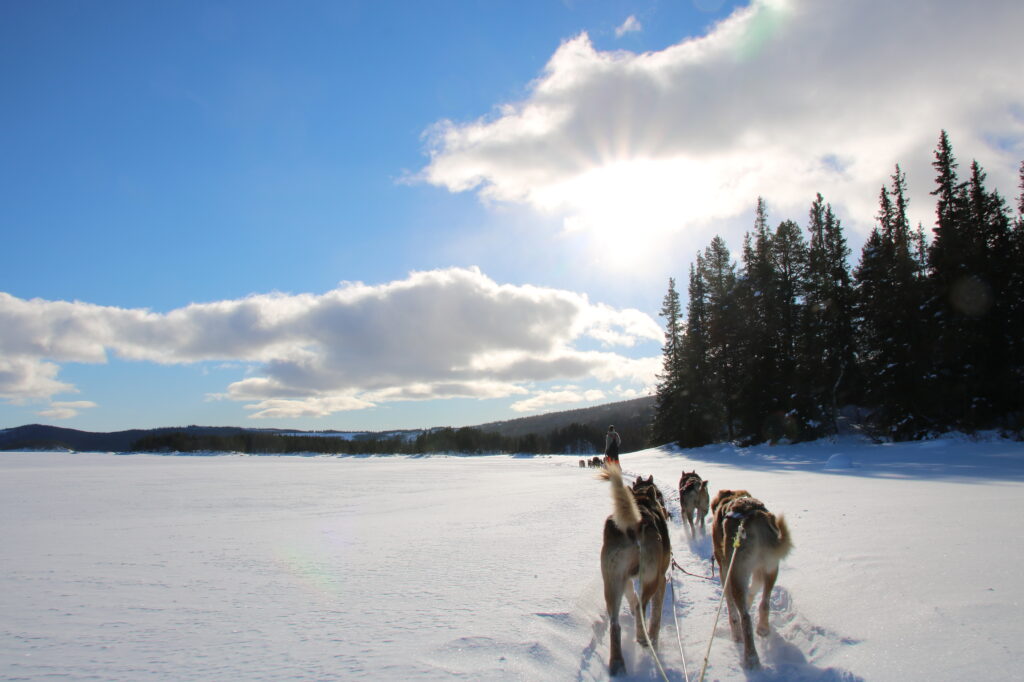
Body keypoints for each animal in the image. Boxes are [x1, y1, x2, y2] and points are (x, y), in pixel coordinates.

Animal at [598, 464, 671, 671]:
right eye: (659, 494)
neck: (642, 500)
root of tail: (635, 524)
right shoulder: (662, 579)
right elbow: (656, 615)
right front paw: (653, 638)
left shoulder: (627, 579)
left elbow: (631, 595)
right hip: (650, 579)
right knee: (641, 605)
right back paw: (643, 638)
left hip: (612, 582)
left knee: (615, 623)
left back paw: (617, 662)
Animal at [712, 489, 790, 667]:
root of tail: (756, 519)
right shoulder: (758, 571)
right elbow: (753, 590)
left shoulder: (725, 569)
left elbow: (732, 608)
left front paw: (735, 634)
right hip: (771, 568)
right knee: (764, 602)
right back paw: (762, 628)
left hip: (736, 573)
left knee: (745, 618)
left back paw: (751, 657)